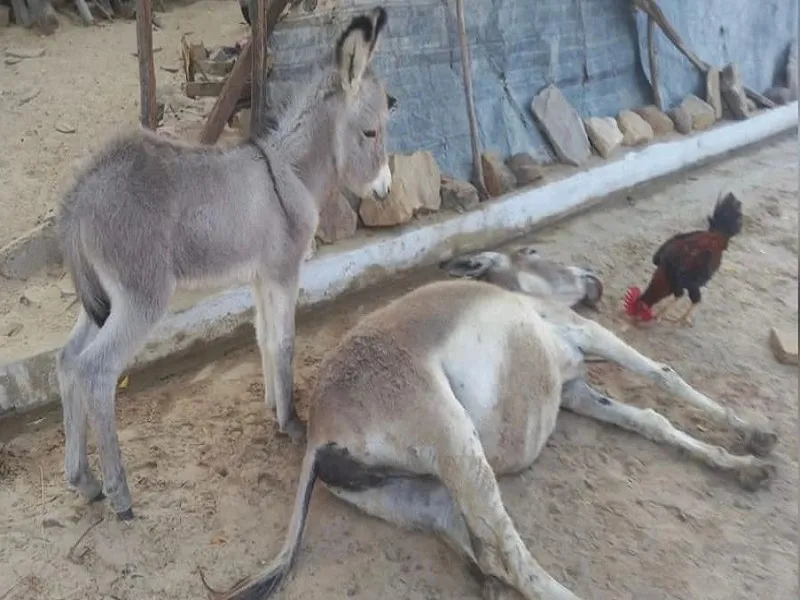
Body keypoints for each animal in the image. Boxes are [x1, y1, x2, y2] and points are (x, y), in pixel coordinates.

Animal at [54, 5, 392, 520]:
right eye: (371, 132)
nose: (386, 191)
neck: (291, 172)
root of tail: (80, 196)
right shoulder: (284, 271)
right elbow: (285, 342)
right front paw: (293, 422)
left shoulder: (259, 276)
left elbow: (264, 338)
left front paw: (275, 408)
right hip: (141, 296)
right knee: (95, 371)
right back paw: (119, 493)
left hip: (101, 299)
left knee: (68, 360)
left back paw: (83, 480)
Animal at [216, 245, 780, 600]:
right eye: (530, 251)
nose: (591, 276)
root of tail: (316, 434)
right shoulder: (587, 334)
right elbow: (666, 377)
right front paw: (756, 435)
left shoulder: (576, 391)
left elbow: (651, 421)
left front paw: (745, 465)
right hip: (456, 443)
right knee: (514, 559)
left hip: (418, 492)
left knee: (485, 552)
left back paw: (485, 582)